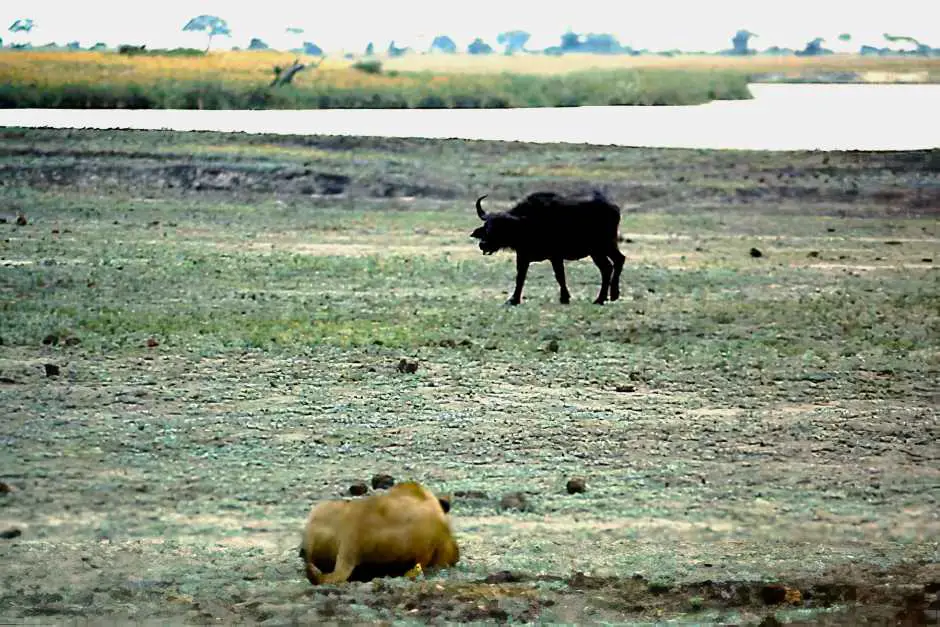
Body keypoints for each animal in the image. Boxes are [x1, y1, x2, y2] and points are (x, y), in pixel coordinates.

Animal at [470, 193, 624, 308]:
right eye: (487, 226)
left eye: (500, 227)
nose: (483, 244)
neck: (527, 224)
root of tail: (614, 209)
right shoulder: (523, 256)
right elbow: (520, 277)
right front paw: (513, 300)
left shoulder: (555, 256)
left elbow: (560, 276)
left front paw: (564, 298)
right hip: (599, 250)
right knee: (610, 265)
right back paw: (606, 297)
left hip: (603, 247)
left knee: (614, 263)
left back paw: (607, 297)